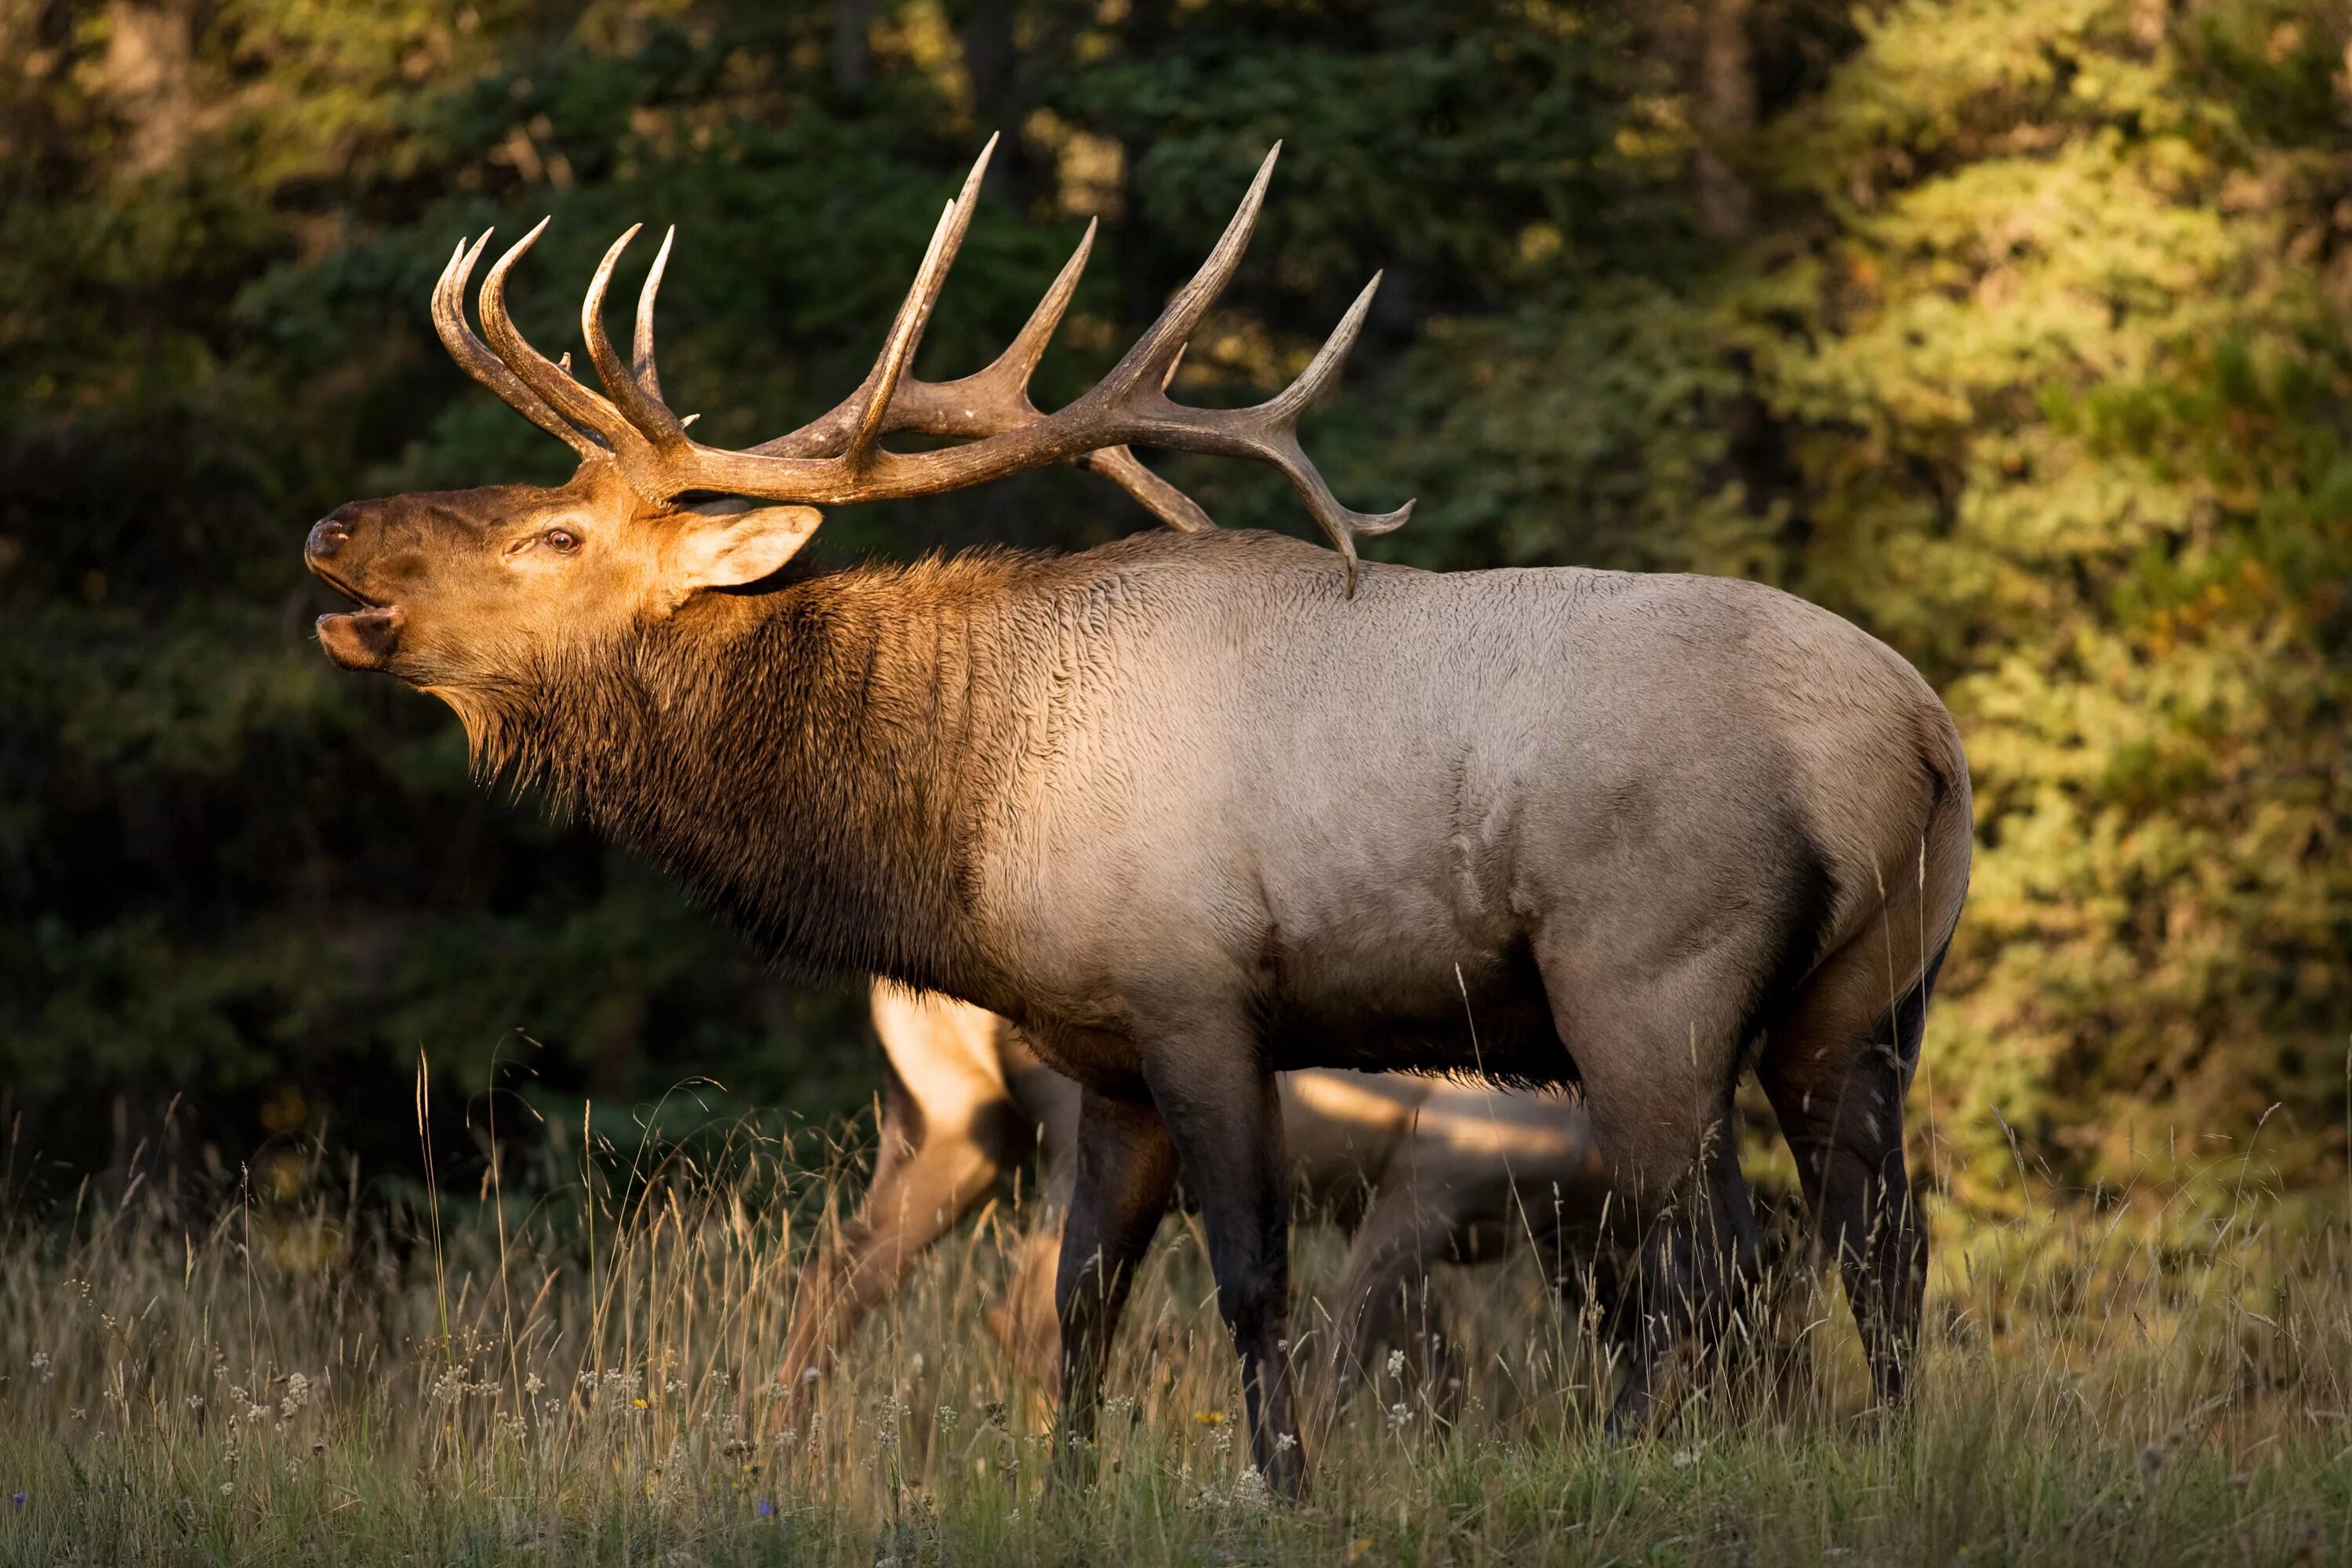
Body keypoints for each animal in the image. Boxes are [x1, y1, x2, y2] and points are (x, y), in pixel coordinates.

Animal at [308, 138, 1966, 1495]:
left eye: (553, 533)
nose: (333, 529)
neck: (959, 813)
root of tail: (1920, 730)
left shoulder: (1198, 997)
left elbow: (1248, 1279)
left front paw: (1285, 1492)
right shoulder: (1097, 1053)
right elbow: (1081, 1302)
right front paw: (1065, 1492)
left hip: (1645, 982)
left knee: (1713, 1258)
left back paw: (1665, 1463)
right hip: (1863, 999)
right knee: (1880, 1242)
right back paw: (1887, 1454)